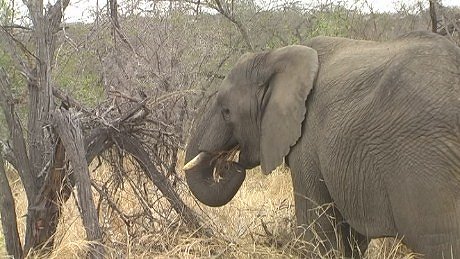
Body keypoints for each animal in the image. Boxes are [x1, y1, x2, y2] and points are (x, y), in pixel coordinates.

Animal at [181, 31, 460, 258]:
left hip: (426, 162)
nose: (230, 166)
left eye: (227, 112)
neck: (275, 57)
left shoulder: (308, 142)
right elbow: (352, 238)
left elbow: (316, 229)